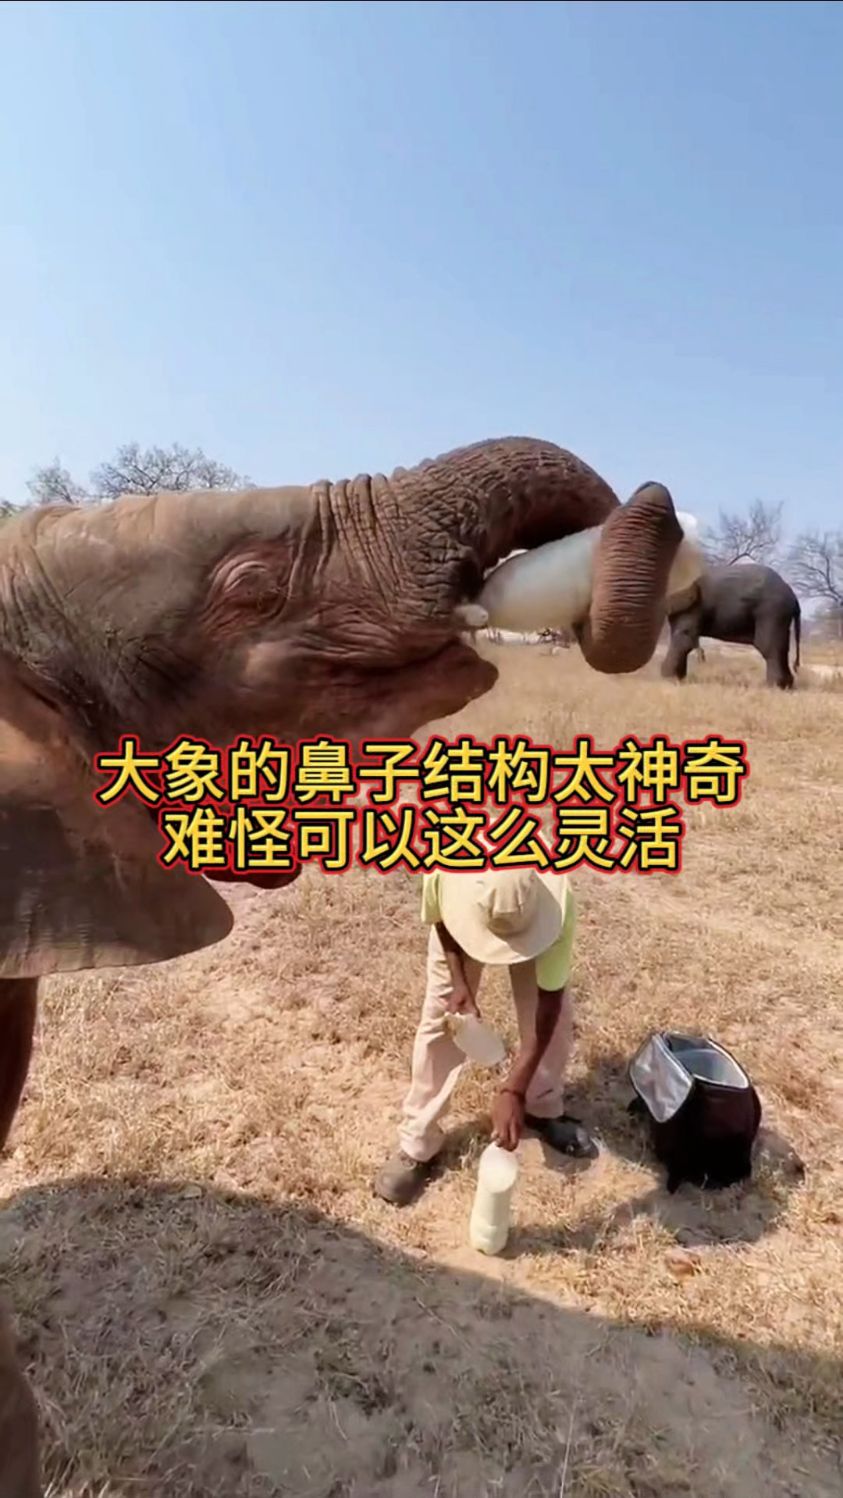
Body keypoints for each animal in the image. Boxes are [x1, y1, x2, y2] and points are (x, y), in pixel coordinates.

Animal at [661, 561, 801, 689]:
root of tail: (793, 597)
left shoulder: (693, 608)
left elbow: (684, 638)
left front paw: (670, 679)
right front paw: (674, 679)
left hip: (771, 611)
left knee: (768, 647)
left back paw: (774, 687)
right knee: (781, 647)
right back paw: (786, 686)